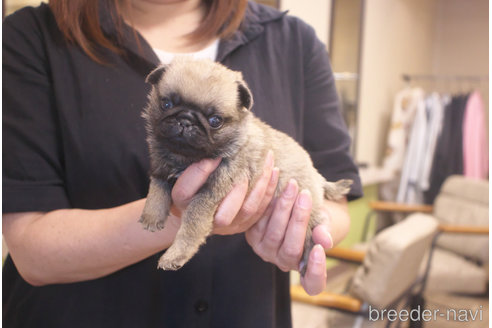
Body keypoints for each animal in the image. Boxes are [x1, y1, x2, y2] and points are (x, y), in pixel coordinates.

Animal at [140, 56, 352, 274]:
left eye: (215, 121)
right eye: (166, 104)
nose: (185, 120)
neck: (185, 157)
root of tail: (315, 173)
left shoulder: (207, 196)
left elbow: (191, 225)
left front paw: (176, 254)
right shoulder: (160, 168)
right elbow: (157, 190)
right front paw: (151, 217)